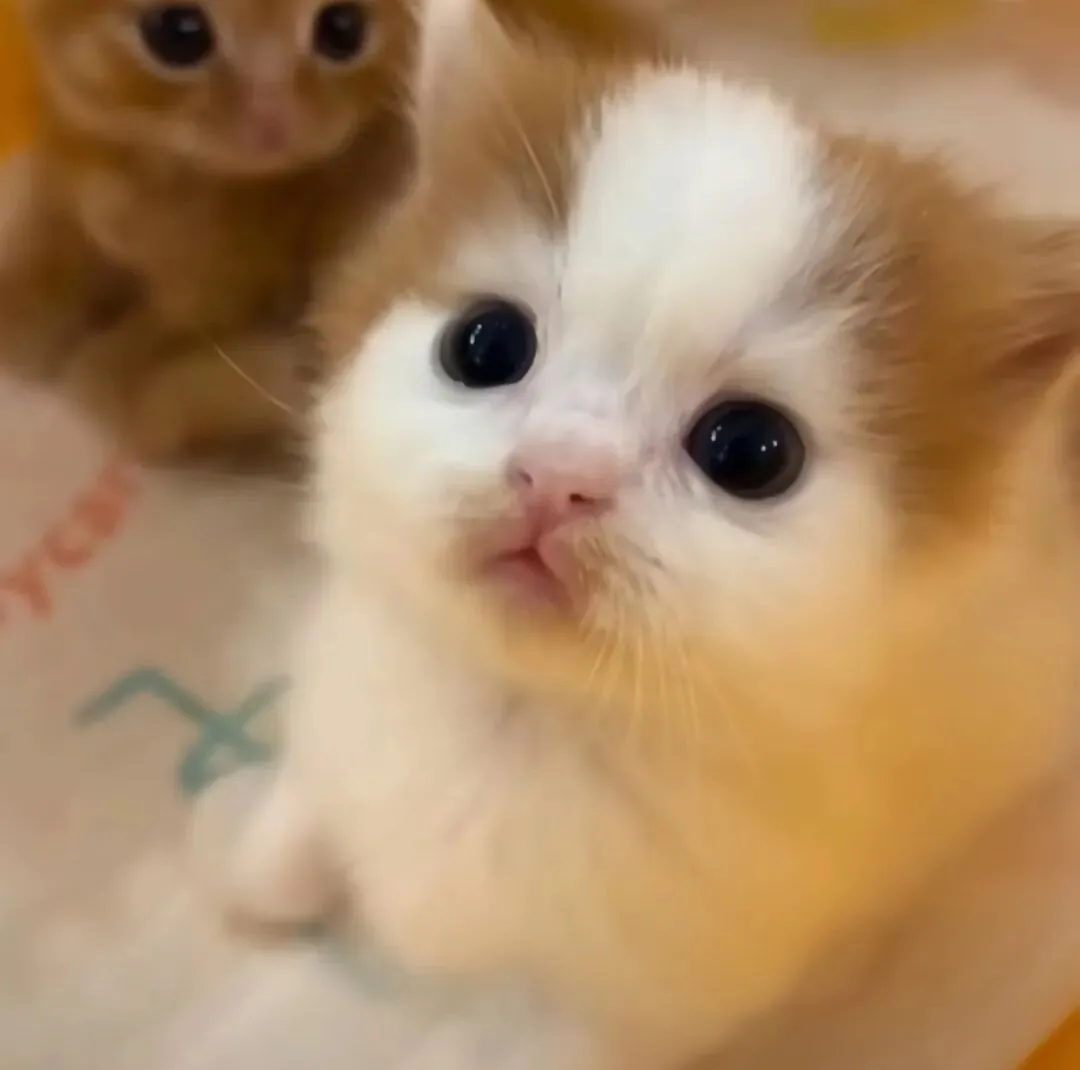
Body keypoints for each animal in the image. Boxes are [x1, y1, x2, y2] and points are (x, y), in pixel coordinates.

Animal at [0, 0, 418, 462]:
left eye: (344, 28)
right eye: (178, 33)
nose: (275, 120)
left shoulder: (228, 286)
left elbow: (159, 335)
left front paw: (110, 372)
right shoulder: (63, 194)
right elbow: (48, 248)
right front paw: (21, 314)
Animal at [195, 2, 1080, 1068]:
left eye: (749, 451)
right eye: (485, 346)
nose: (556, 475)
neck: (523, 715)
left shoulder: (640, 1000)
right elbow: (316, 782)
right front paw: (261, 871)